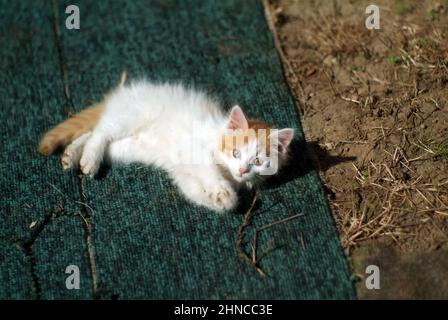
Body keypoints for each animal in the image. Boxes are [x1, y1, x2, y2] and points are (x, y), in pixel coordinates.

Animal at [39, 78, 294, 211]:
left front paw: (220, 200)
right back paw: (89, 159)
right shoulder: (196, 149)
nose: (241, 170)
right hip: (132, 116)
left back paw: (73, 154)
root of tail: (120, 94)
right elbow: (209, 171)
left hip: (129, 147)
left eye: (258, 161)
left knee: (95, 135)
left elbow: (191, 189)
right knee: (100, 133)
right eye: (235, 153)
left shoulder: (181, 169)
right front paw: (222, 191)